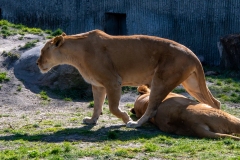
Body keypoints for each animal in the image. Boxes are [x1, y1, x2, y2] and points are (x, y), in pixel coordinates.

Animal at [37, 30, 219, 127]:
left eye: (43, 50)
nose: (38, 63)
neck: (75, 55)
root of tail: (192, 53)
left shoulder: (112, 82)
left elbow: (113, 108)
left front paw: (126, 118)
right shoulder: (98, 85)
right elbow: (97, 105)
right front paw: (92, 120)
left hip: (161, 80)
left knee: (152, 108)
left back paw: (135, 123)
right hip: (192, 84)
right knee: (214, 102)